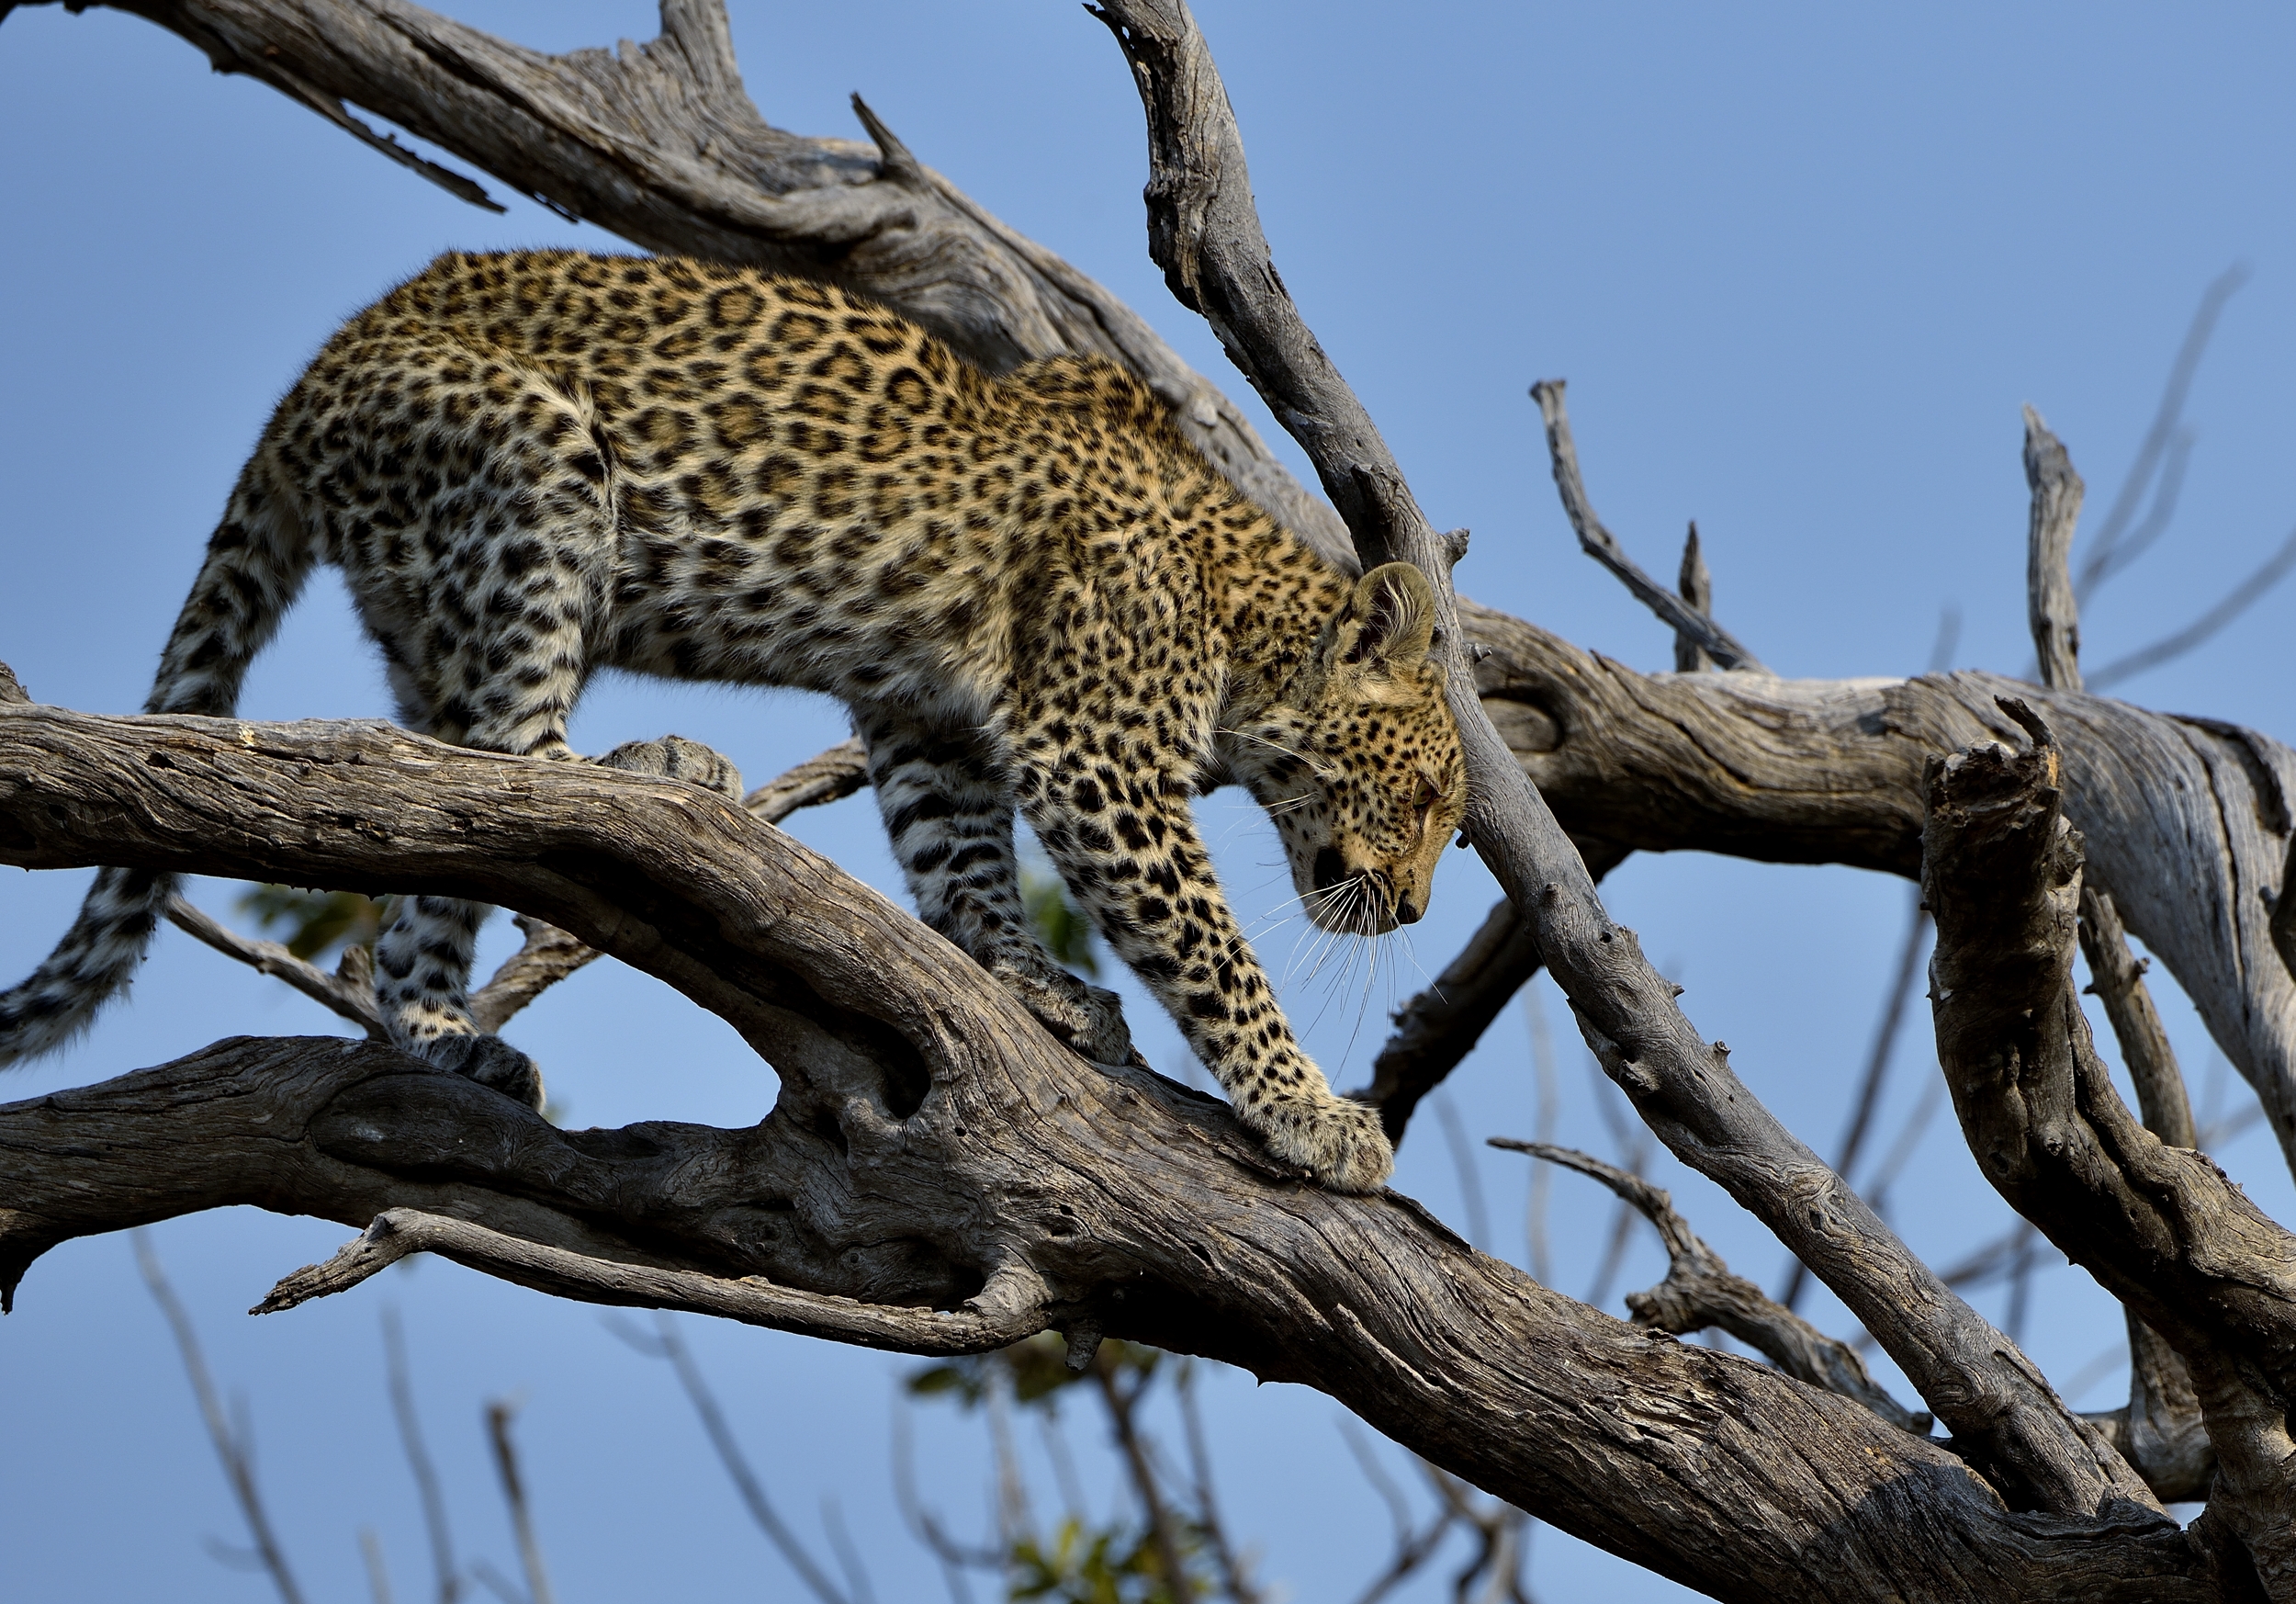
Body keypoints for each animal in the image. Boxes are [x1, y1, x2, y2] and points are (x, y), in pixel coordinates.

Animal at [0, 249, 1466, 1193]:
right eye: (1429, 804)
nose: (1407, 910)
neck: (1247, 625)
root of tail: (313, 377)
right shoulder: (1097, 754)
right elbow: (1211, 949)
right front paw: (1310, 1114)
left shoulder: (929, 721)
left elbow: (962, 868)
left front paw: (1032, 982)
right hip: (534, 459)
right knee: (510, 747)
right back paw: (656, 764)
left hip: (434, 619)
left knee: (441, 834)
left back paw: (446, 1036)